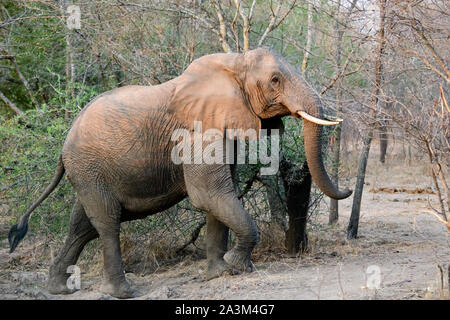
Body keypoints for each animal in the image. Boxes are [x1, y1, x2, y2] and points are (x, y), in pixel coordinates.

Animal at [7, 47, 352, 298]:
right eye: (276, 80)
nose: (348, 190)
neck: (235, 62)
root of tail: (64, 142)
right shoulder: (197, 129)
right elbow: (209, 193)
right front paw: (235, 266)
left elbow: (219, 196)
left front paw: (218, 273)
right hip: (89, 166)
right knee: (106, 222)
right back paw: (124, 292)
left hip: (89, 173)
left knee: (82, 225)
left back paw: (57, 289)